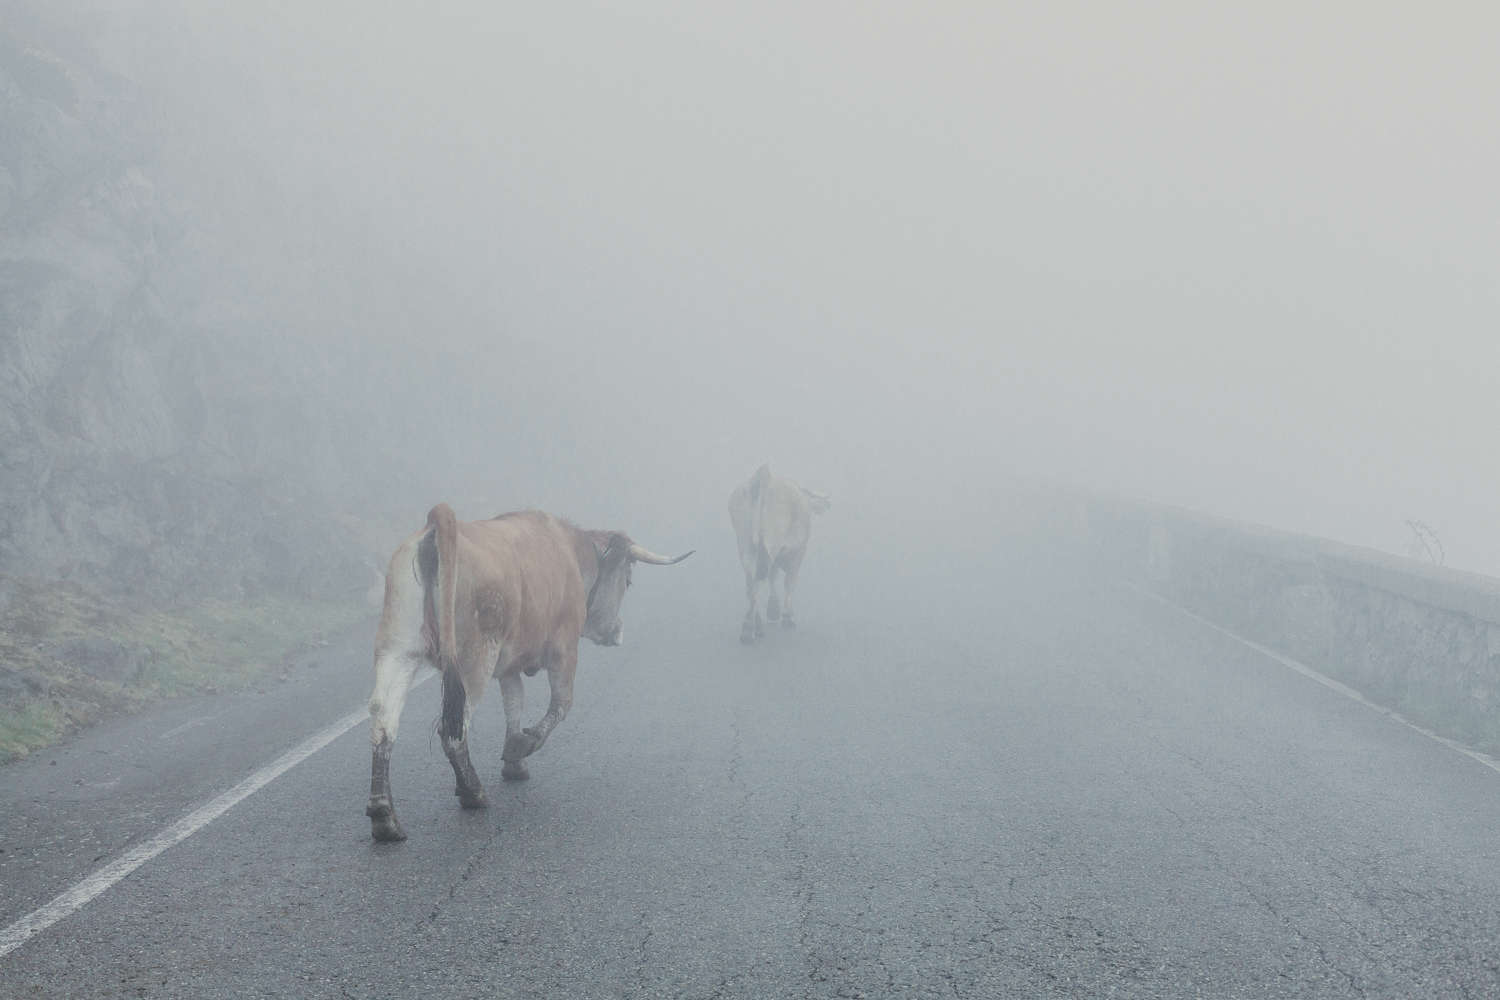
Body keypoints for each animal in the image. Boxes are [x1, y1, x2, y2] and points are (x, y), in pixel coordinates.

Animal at [366, 503, 693, 839]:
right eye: (627, 582)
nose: (617, 632)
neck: (571, 550)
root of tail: (440, 519)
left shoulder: (510, 663)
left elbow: (514, 703)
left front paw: (514, 762)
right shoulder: (565, 650)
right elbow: (561, 706)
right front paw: (523, 745)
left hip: (398, 649)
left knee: (383, 722)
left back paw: (384, 816)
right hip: (475, 659)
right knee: (453, 728)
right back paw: (473, 792)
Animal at [729, 464, 834, 644]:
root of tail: (763, 475)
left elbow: (774, 575)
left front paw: (773, 608)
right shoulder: (799, 550)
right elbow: (790, 581)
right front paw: (787, 616)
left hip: (744, 543)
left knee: (751, 582)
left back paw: (757, 625)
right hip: (770, 542)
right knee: (759, 580)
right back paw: (749, 630)